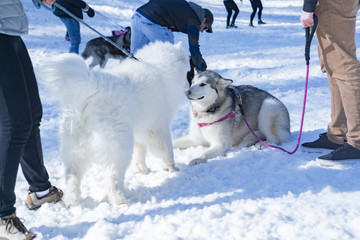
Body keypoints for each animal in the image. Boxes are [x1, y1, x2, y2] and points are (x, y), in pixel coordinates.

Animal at [39, 41, 188, 206]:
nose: (189, 85)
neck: (160, 66)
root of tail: (90, 88)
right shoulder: (159, 126)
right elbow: (167, 149)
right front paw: (173, 167)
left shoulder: (140, 130)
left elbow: (140, 152)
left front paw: (142, 170)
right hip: (119, 146)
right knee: (112, 177)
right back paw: (122, 199)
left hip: (75, 147)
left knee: (73, 176)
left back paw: (71, 200)